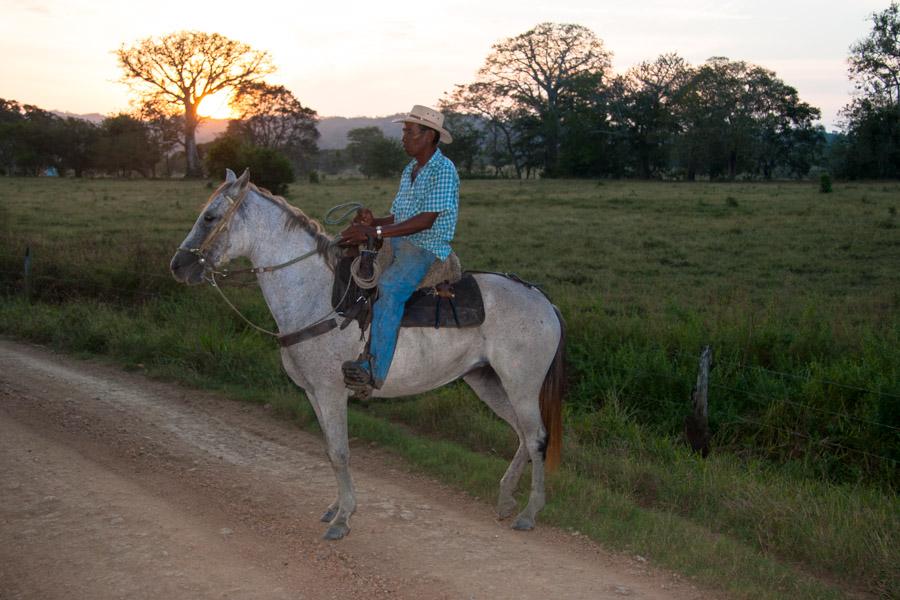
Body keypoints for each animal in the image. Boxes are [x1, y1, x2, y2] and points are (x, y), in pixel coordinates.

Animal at [170, 169, 568, 540]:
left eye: (210, 217)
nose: (178, 266)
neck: (314, 295)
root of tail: (542, 300)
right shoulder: (314, 392)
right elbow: (330, 449)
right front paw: (336, 508)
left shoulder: (330, 391)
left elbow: (340, 452)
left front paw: (343, 519)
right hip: (486, 381)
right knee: (521, 434)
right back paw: (505, 499)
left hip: (521, 384)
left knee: (536, 437)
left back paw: (529, 513)